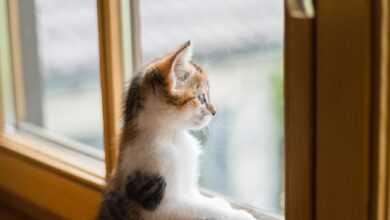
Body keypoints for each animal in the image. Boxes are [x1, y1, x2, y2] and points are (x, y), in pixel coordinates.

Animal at [97, 41, 256, 220]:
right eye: (201, 97)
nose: (214, 112)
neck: (173, 137)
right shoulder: (161, 204)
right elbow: (202, 209)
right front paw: (238, 214)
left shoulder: (188, 189)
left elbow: (201, 201)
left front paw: (220, 202)